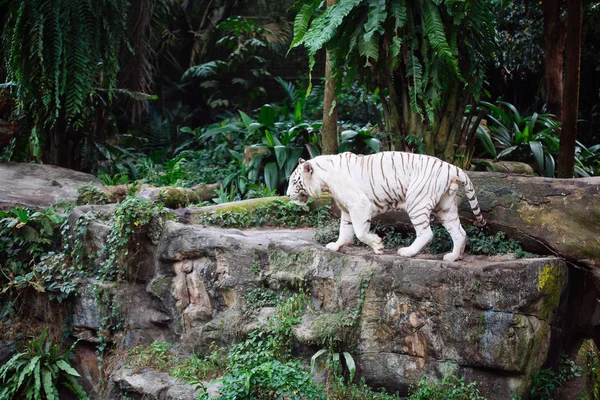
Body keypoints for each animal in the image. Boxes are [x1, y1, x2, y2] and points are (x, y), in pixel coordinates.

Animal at [286, 152, 488, 260]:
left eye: (295, 182)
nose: (287, 195)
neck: (324, 181)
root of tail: (451, 167)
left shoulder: (359, 204)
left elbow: (360, 232)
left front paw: (377, 246)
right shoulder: (347, 210)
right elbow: (345, 231)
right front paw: (335, 246)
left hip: (417, 202)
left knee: (426, 233)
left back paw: (407, 252)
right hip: (445, 207)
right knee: (460, 232)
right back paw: (453, 257)